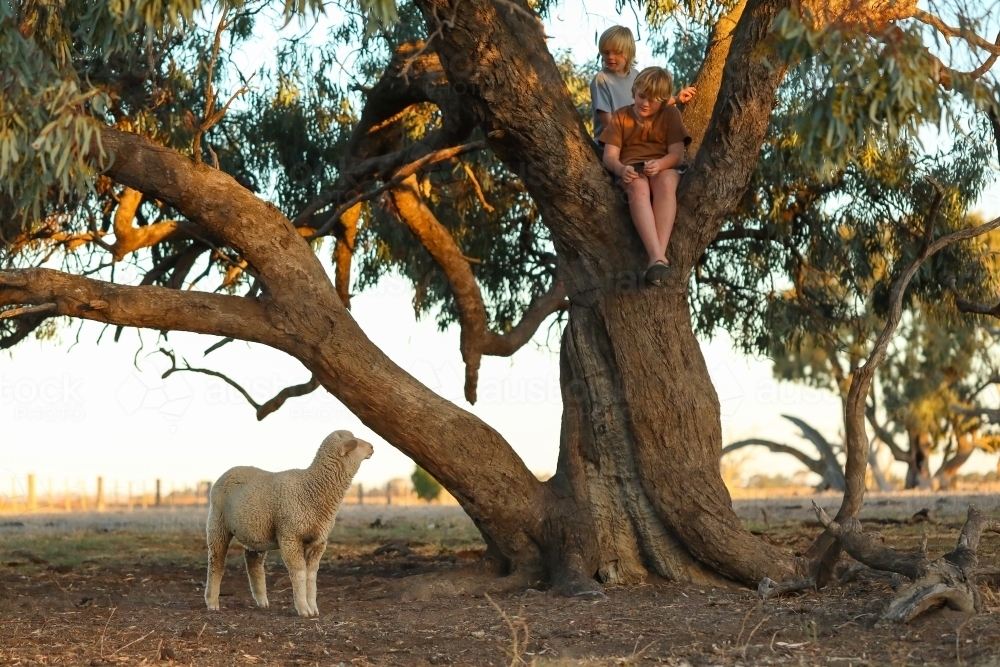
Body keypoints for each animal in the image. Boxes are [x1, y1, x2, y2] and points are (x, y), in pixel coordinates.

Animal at [204, 430, 374, 617]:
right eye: (355, 442)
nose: (372, 447)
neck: (311, 488)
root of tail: (229, 471)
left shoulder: (318, 542)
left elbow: (311, 575)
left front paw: (313, 608)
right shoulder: (290, 536)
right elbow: (299, 572)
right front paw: (303, 609)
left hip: (254, 531)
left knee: (253, 562)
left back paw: (262, 601)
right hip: (217, 522)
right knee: (216, 561)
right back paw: (212, 602)